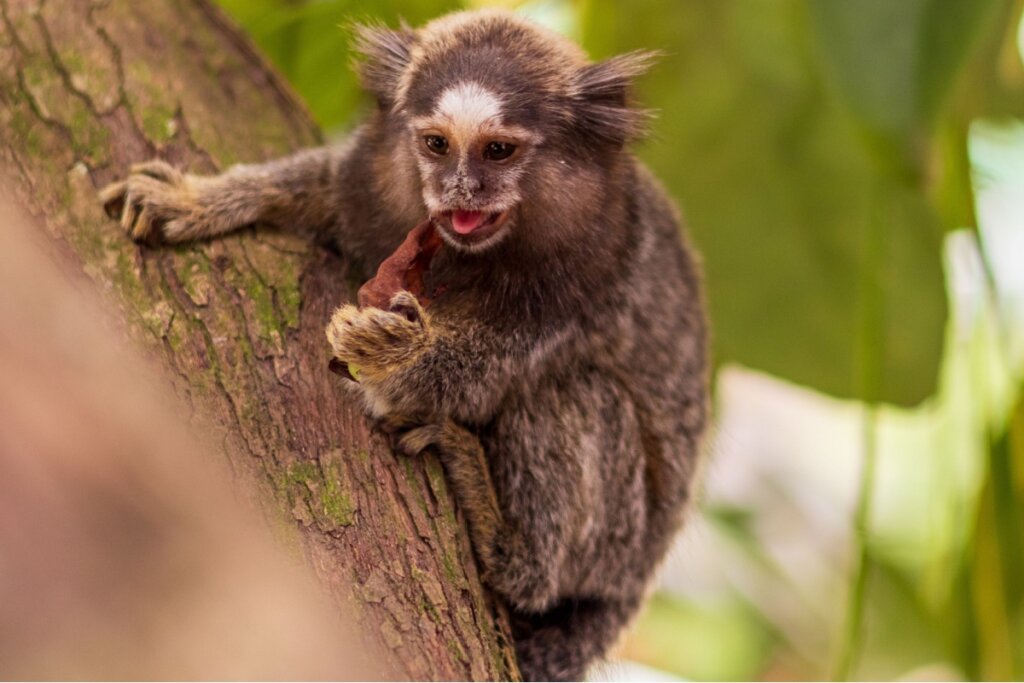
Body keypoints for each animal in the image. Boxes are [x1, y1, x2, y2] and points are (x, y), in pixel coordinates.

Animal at [100, 10, 709, 681]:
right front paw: (199, 199)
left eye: (498, 150)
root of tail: (628, 585)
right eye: (437, 144)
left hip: (612, 543)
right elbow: (316, 185)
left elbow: (470, 376)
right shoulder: (366, 185)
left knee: (574, 397)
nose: (460, 189)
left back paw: (500, 533)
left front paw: (392, 352)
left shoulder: (585, 278)